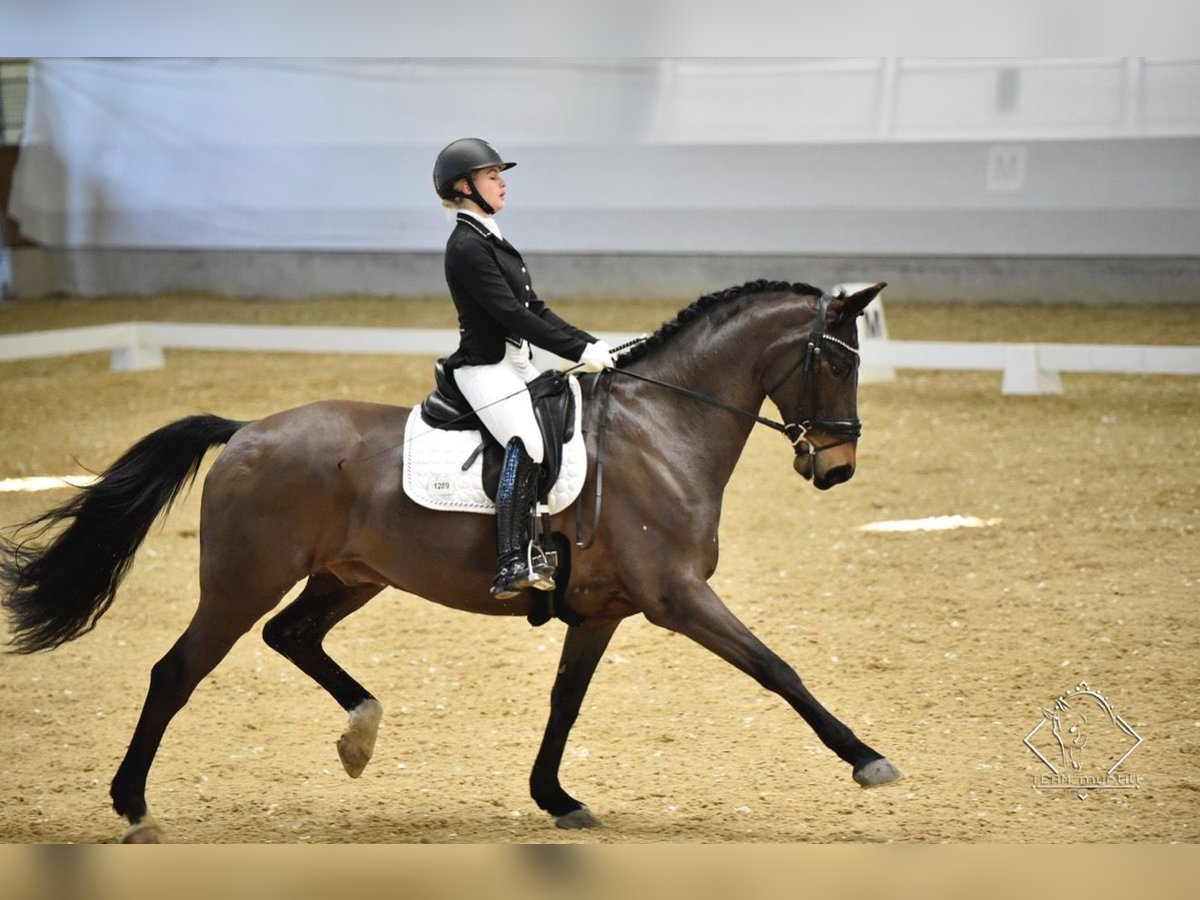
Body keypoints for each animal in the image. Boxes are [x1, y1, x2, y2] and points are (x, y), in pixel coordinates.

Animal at [1, 279, 901, 842]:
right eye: (836, 359)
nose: (837, 467)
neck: (662, 429)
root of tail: (247, 430)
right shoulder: (676, 597)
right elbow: (777, 668)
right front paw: (868, 760)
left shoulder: (604, 610)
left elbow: (565, 703)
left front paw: (555, 798)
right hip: (242, 581)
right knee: (176, 672)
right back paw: (132, 807)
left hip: (349, 579)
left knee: (292, 638)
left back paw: (359, 734)